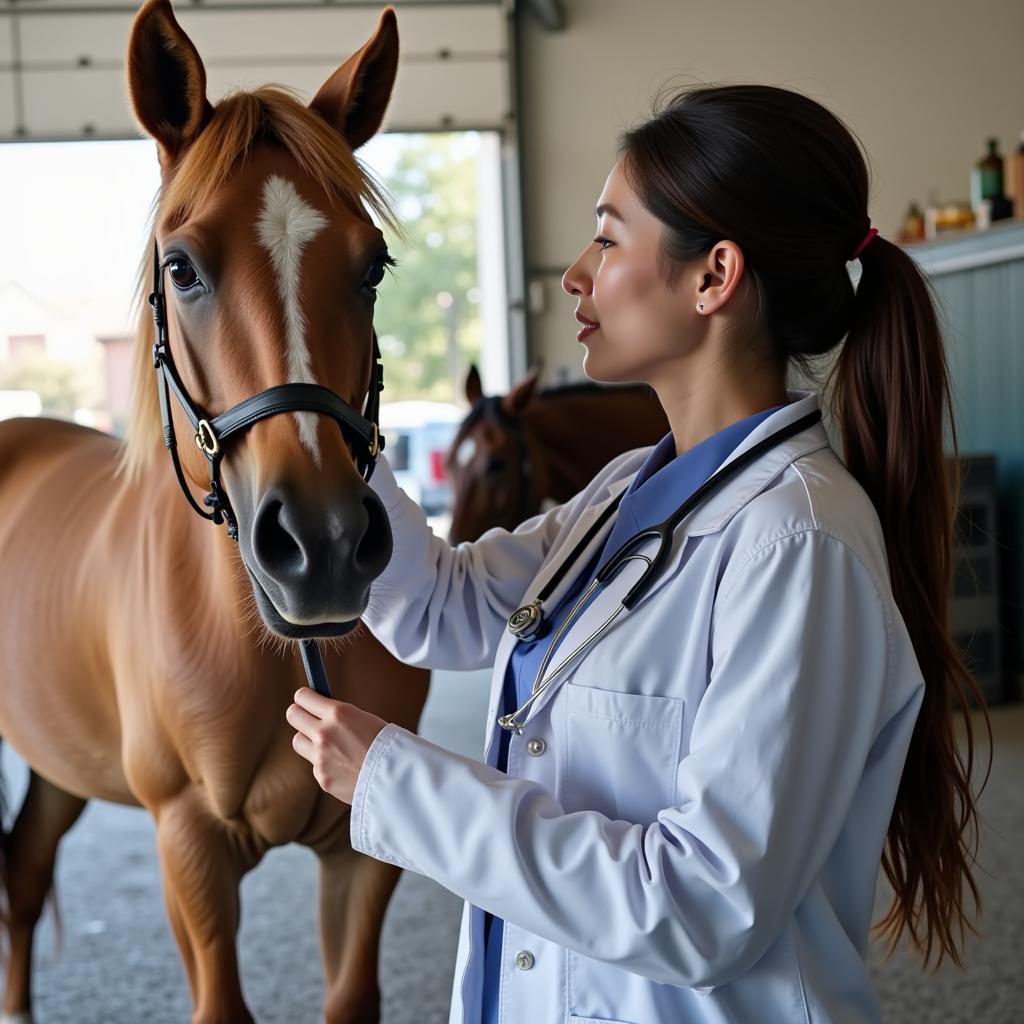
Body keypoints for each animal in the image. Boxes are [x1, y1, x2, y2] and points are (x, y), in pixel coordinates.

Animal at [0, 4, 428, 1019]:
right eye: (183, 268)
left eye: (374, 267)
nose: (324, 544)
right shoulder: (188, 843)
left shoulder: (362, 850)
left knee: (25, 871)